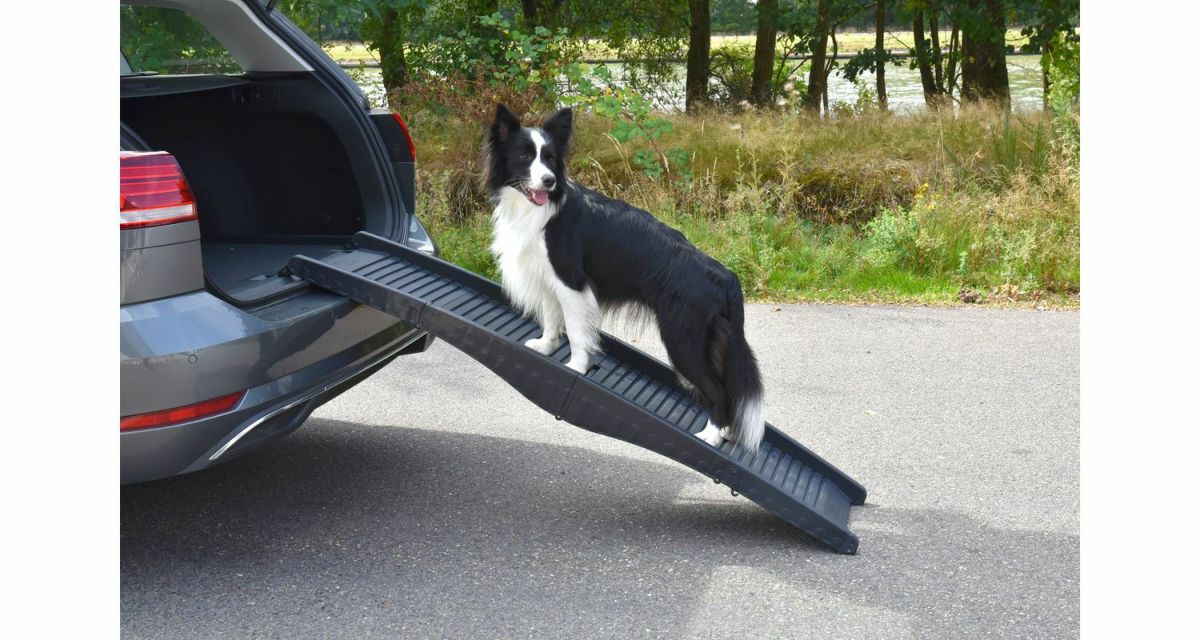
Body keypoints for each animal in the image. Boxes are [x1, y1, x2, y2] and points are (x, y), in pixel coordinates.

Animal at [481, 104, 765, 452]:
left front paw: (575, 367)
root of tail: (725, 277)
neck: (542, 209)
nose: (548, 181)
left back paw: (711, 435)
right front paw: (545, 347)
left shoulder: (572, 283)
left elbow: (576, 332)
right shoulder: (550, 277)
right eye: (524, 156)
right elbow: (551, 319)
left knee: (718, 390)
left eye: (549, 158)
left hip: (684, 339)